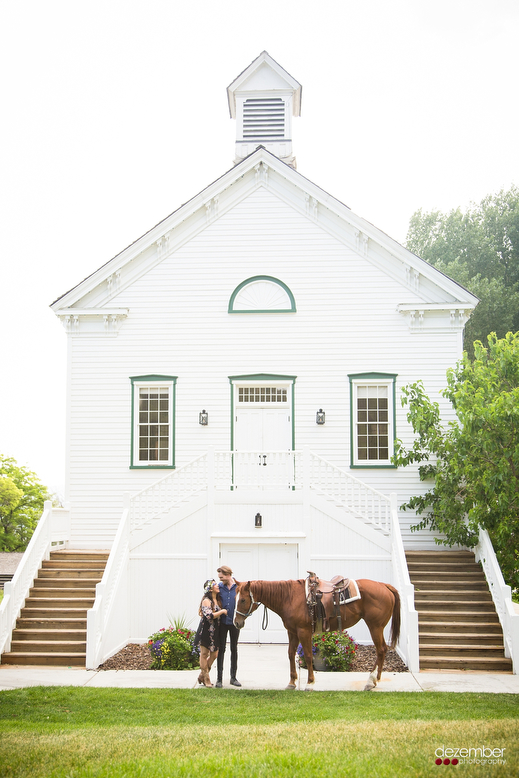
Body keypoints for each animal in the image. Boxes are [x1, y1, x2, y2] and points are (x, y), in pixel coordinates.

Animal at [235, 576, 402, 684]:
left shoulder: (303, 631)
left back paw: (371, 681)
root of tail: (385, 586)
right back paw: (376, 679)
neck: (289, 597)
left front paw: (310, 682)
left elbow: (309, 656)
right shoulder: (292, 632)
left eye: (242, 600)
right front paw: (292, 682)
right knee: (382, 650)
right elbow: (290, 654)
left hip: (375, 626)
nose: (236, 622)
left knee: (381, 650)